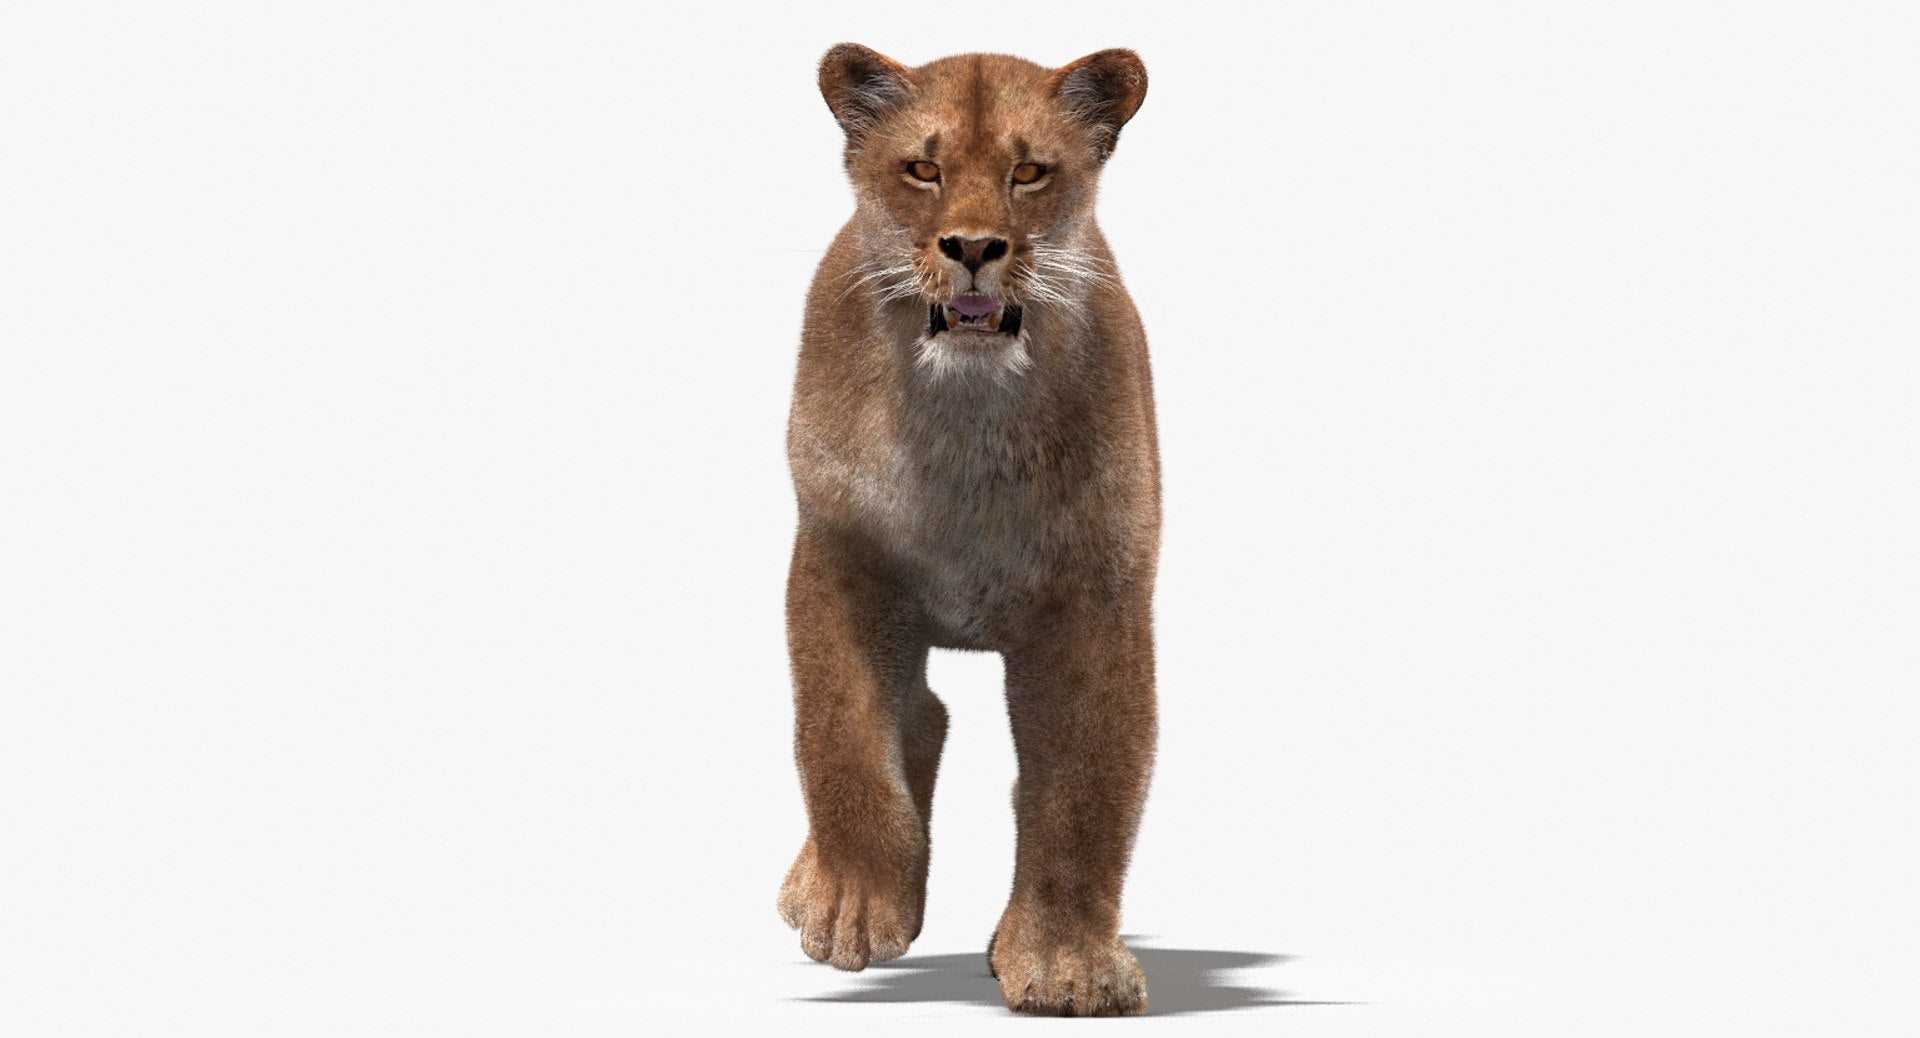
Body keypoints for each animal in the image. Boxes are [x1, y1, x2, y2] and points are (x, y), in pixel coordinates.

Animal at [777, 43, 1160, 1017]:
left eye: (1029, 173)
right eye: (924, 169)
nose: (977, 248)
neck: (966, 421)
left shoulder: (1097, 598)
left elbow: (1083, 790)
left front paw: (1066, 965)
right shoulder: (836, 557)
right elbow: (839, 737)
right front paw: (850, 907)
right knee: (918, 713)